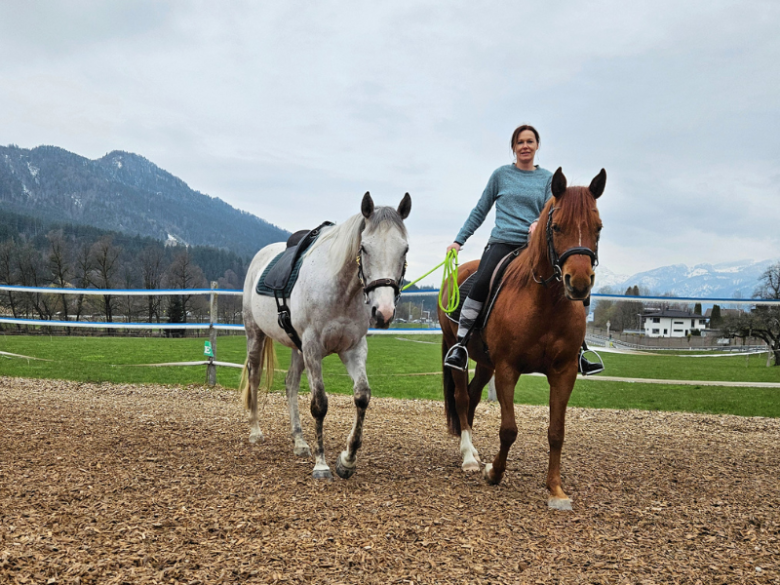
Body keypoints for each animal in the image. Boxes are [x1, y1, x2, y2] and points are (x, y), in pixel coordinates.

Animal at [241, 192, 412, 480]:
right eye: (364, 248)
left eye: (405, 249)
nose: (384, 312)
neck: (342, 291)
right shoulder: (312, 347)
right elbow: (319, 404)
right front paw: (322, 465)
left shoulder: (353, 349)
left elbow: (362, 396)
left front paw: (347, 460)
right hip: (256, 334)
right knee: (254, 376)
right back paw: (255, 431)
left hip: (296, 347)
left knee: (290, 384)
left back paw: (299, 441)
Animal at [438, 167, 605, 510]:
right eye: (556, 227)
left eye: (598, 228)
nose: (579, 284)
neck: (545, 302)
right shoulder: (507, 369)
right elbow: (508, 429)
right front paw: (494, 472)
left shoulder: (564, 372)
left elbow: (556, 431)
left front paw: (555, 489)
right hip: (458, 353)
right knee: (461, 398)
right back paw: (468, 457)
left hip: (485, 362)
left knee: (473, 396)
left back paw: (471, 449)